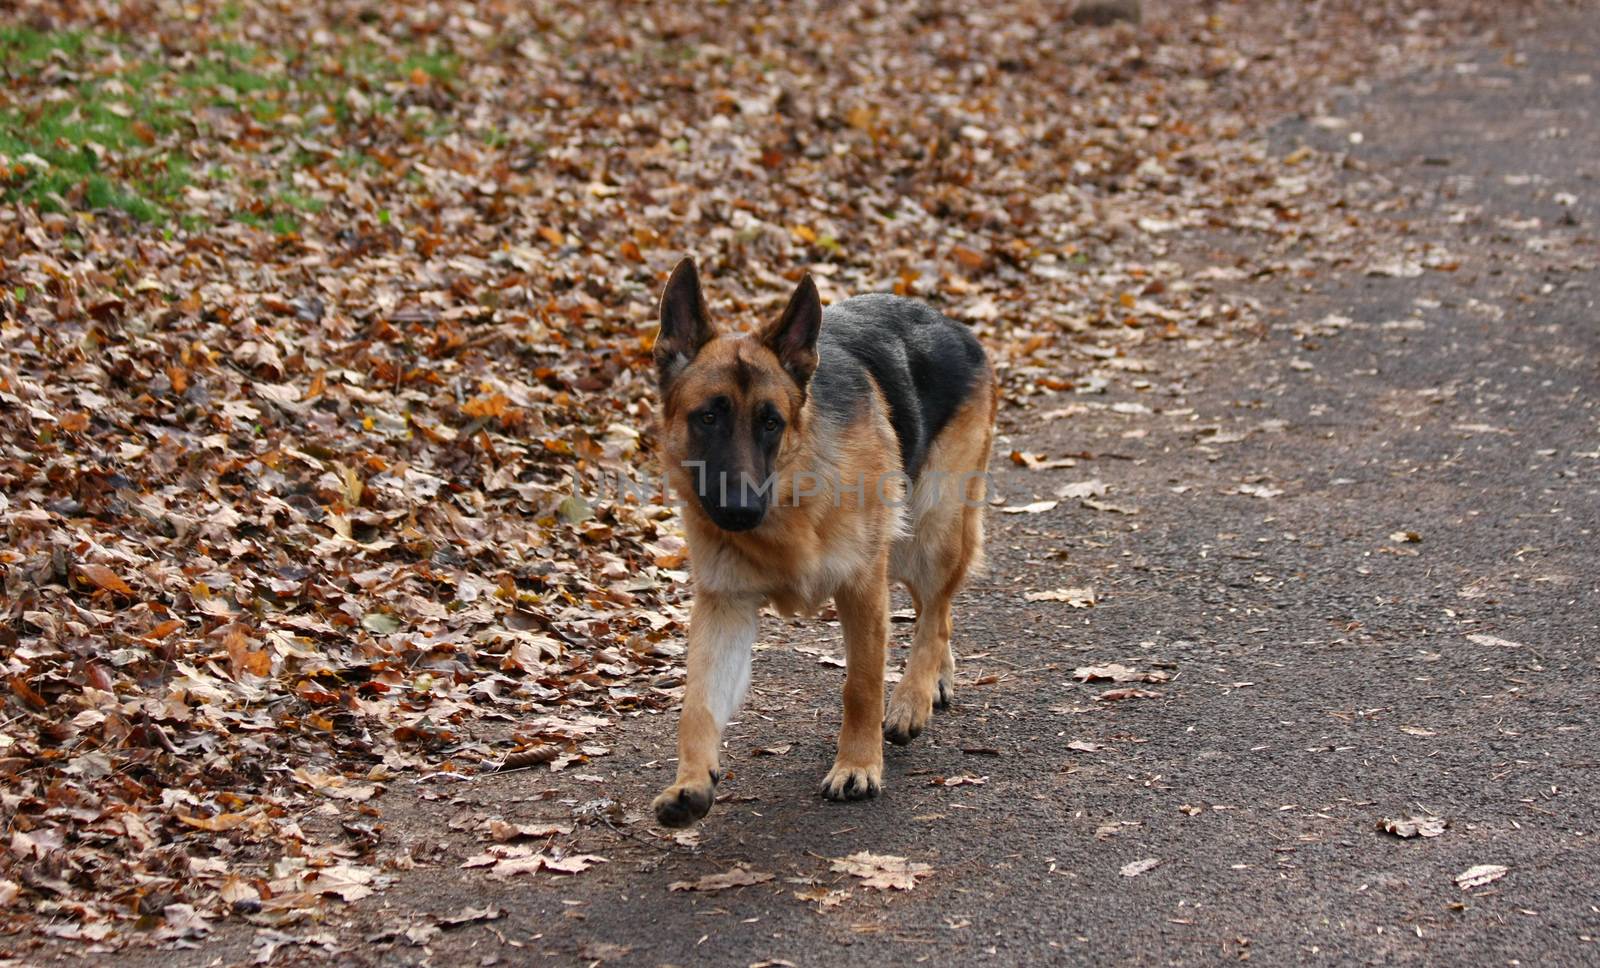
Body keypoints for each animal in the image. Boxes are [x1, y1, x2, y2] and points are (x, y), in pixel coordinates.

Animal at [646, 260, 985, 825]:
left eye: (771, 422)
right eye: (708, 417)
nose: (740, 509)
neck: (791, 501)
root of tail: (948, 322)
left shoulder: (862, 588)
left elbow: (861, 686)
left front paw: (858, 765)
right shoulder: (725, 607)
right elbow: (697, 703)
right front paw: (690, 782)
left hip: (929, 533)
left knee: (936, 614)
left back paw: (912, 697)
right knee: (937, 614)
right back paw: (937, 679)